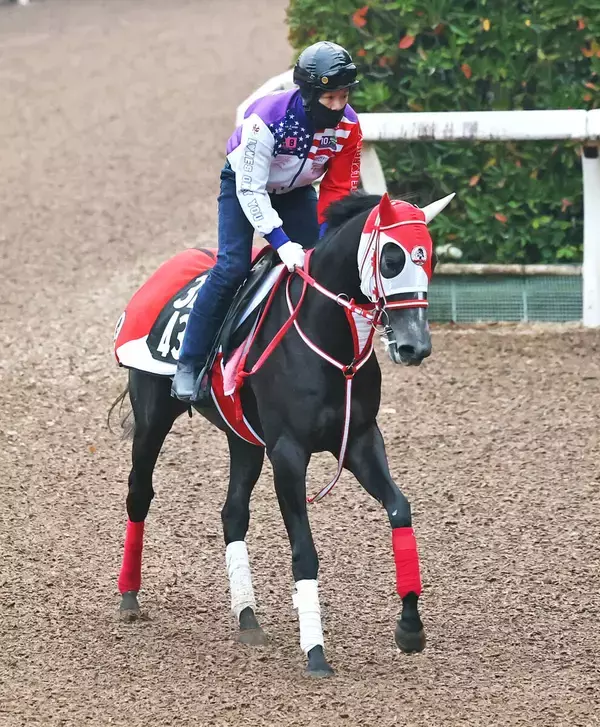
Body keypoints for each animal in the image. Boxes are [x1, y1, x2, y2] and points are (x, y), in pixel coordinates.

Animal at [110, 190, 454, 677]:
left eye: (432, 258)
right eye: (391, 258)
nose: (415, 346)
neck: (330, 341)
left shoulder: (360, 439)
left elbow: (399, 510)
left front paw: (409, 628)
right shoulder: (289, 453)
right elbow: (304, 551)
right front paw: (315, 652)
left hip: (244, 438)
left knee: (232, 512)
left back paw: (247, 617)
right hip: (153, 415)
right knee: (139, 493)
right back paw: (129, 596)